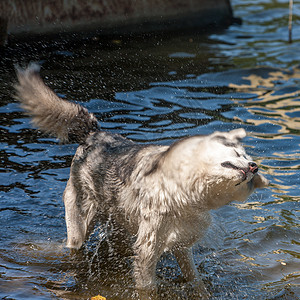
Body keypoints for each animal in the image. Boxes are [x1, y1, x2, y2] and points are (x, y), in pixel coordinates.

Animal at [14, 63, 270, 296]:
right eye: (239, 154)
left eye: (250, 173)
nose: (254, 167)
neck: (185, 191)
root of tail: (94, 134)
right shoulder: (148, 247)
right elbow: (148, 287)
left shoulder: (180, 244)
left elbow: (194, 279)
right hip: (80, 228)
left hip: (120, 226)